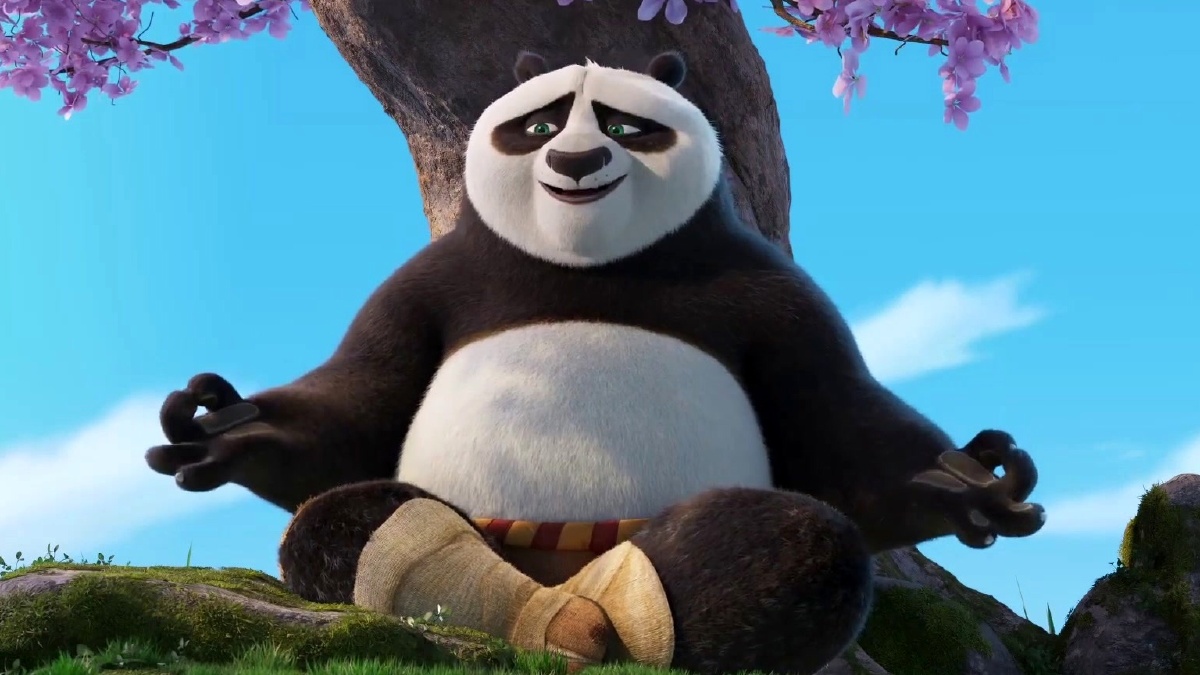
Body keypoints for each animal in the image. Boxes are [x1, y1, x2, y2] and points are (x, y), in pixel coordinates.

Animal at [146, 50, 1047, 675]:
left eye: (623, 126)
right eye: (540, 125)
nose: (575, 164)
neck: (586, 263)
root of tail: (563, 566)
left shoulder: (771, 291)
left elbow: (841, 428)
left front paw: (970, 479)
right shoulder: (430, 282)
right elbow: (357, 402)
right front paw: (222, 425)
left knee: (796, 545)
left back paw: (604, 620)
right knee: (351, 521)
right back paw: (539, 620)